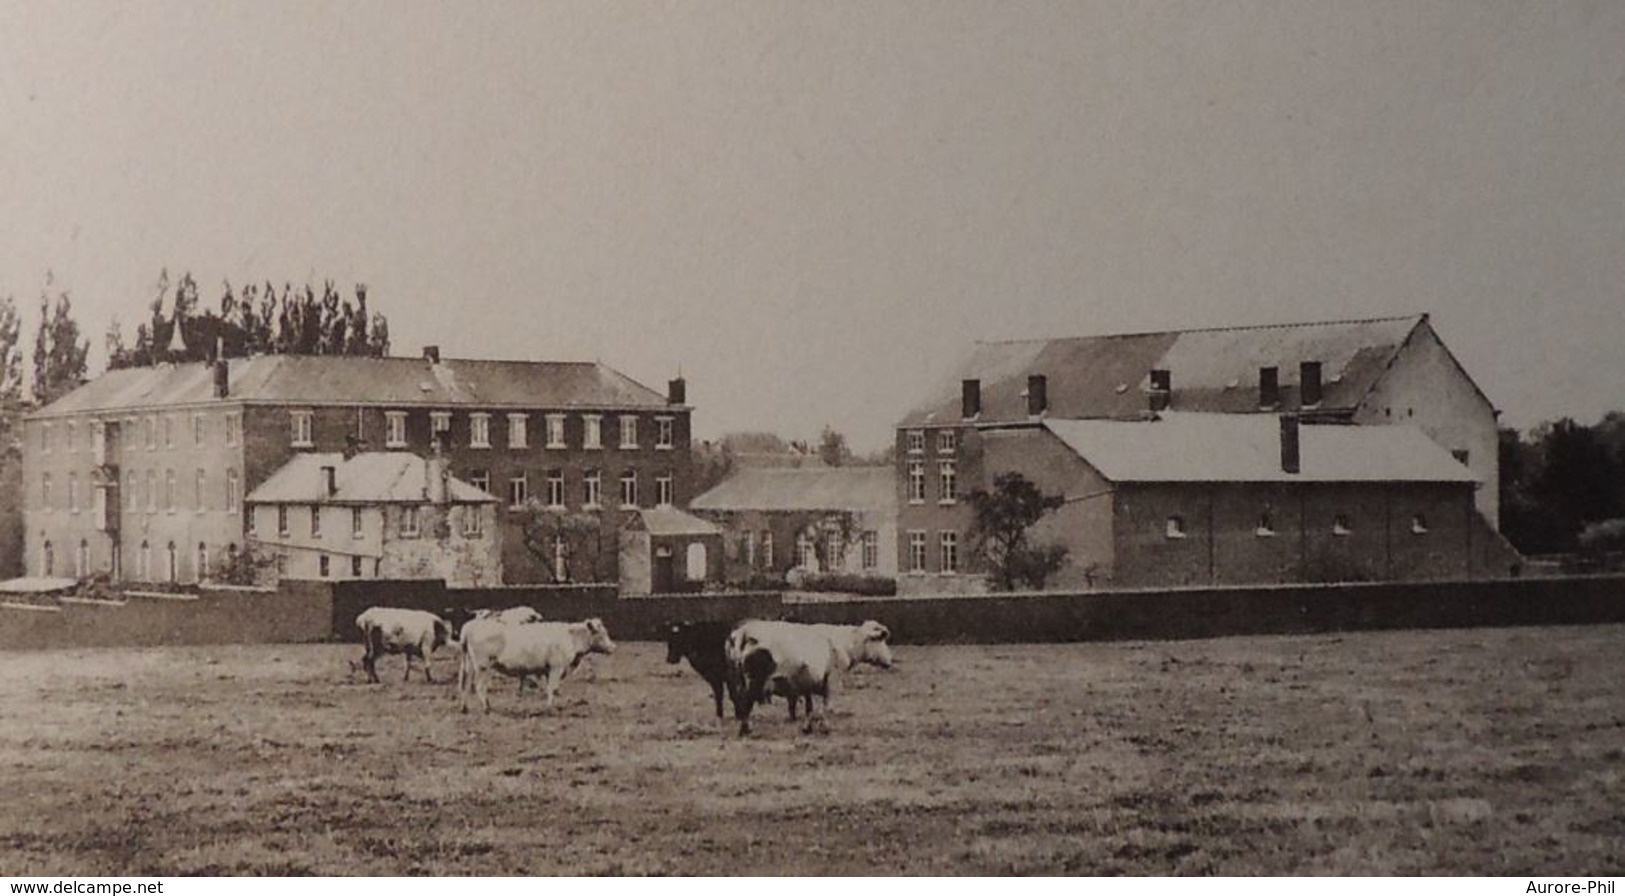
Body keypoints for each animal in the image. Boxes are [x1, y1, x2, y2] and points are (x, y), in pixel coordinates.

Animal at [461, 617, 617, 715]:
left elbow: (549, 688)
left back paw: (465, 708)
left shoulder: (548, 670)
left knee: (466, 685)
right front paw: (550, 709)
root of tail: (470, 626)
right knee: (479, 687)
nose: (613, 647)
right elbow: (552, 688)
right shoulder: (556, 668)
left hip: (470, 664)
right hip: (483, 666)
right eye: (602, 633)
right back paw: (487, 708)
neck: (570, 637)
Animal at [731, 617, 897, 735]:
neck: (845, 643)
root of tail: (746, 629)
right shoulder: (831, 681)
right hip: (755, 680)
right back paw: (746, 729)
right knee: (746, 702)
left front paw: (807, 727)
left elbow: (810, 708)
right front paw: (825, 727)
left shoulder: (807, 684)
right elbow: (825, 706)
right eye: (880, 639)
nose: (890, 661)